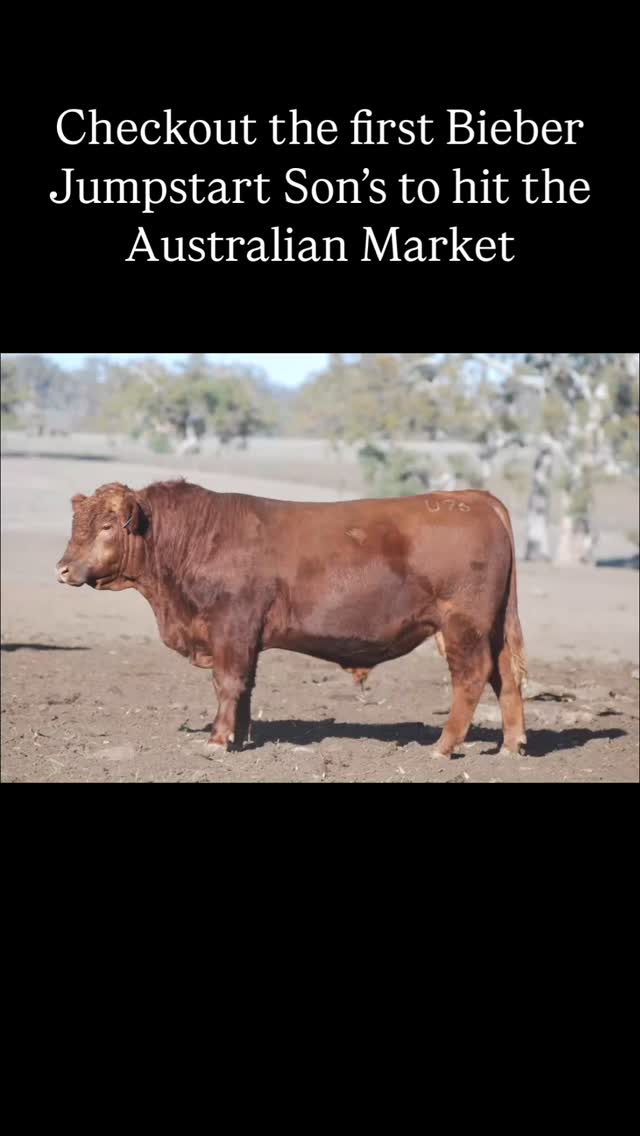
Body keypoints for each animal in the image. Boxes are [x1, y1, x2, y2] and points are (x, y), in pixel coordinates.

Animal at [56, 481, 527, 758]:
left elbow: (228, 682)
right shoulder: (246, 637)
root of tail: (471, 497)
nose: (62, 568)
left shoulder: (231, 626)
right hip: (493, 627)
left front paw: (216, 741)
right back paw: (510, 746)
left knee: (472, 676)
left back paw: (443, 746)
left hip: (463, 625)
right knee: (506, 676)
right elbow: (245, 686)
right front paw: (241, 737)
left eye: (107, 526)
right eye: (76, 523)